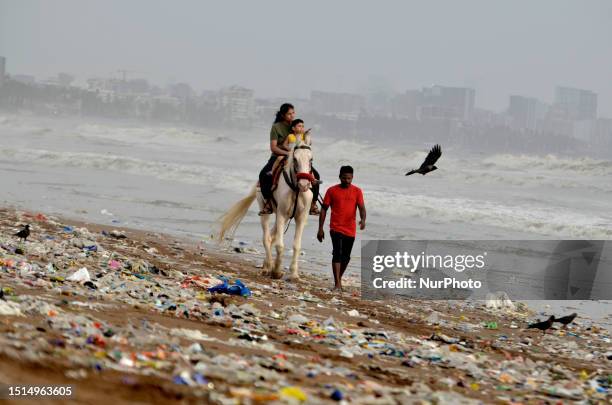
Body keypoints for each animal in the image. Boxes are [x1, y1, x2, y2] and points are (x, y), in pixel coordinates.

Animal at [219, 136, 316, 280]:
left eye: (311, 159)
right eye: (295, 159)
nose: (304, 185)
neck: (295, 189)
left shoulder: (301, 217)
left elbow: (296, 245)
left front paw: (294, 274)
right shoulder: (281, 214)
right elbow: (280, 245)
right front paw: (276, 271)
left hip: (284, 217)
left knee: (271, 236)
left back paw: (266, 265)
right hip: (266, 210)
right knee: (266, 237)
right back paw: (268, 267)